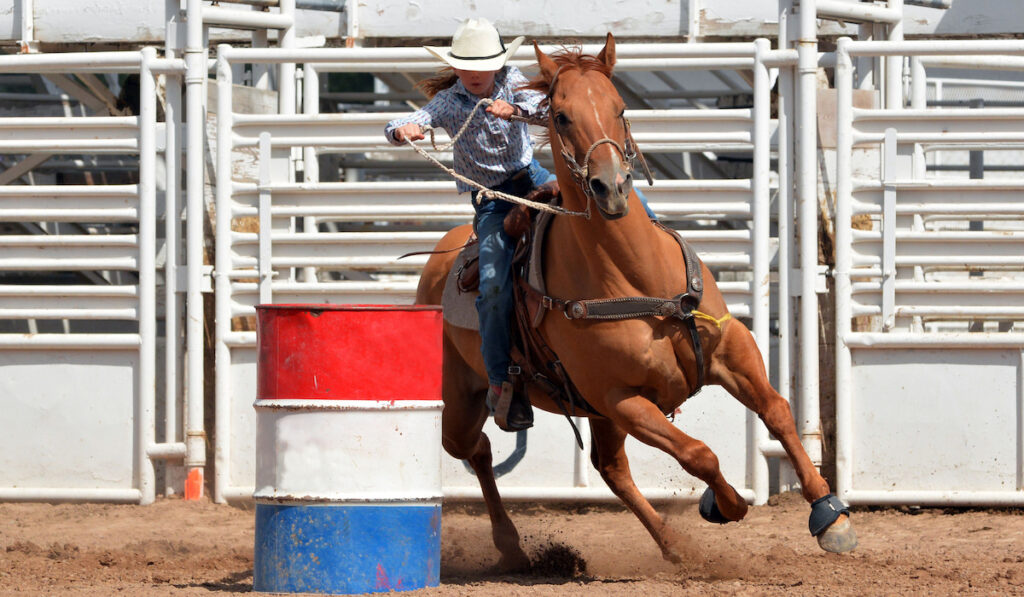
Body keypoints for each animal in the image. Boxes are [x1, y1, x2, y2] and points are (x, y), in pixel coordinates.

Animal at [413, 32, 856, 569]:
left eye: (620, 107)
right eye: (561, 116)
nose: (611, 187)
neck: (635, 276)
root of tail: (441, 258)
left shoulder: (730, 347)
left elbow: (777, 410)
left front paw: (829, 513)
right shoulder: (620, 399)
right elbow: (698, 453)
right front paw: (726, 503)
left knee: (608, 468)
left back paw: (673, 545)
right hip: (465, 398)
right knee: (475, 448)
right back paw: (512, 545)